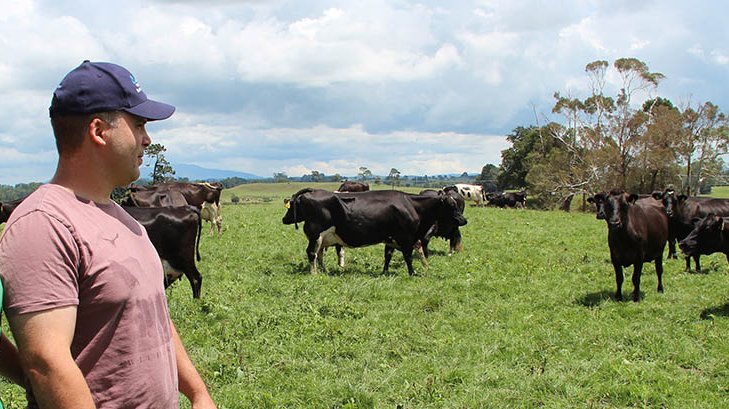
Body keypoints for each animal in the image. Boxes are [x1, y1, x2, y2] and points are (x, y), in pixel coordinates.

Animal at [282, 188, 464, 274]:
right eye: (451, 204)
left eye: (456, 204)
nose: (464, 220)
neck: (411, 204)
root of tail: (313, 190)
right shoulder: (405, 237)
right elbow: (408, 257)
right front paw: (412, 273)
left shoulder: (391, 237)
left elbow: (388, 255)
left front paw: (385, 272)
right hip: (315, 233)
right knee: (312, 253)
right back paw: (314, 273)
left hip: (321, 237)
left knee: (318, 254)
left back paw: (323, 270)